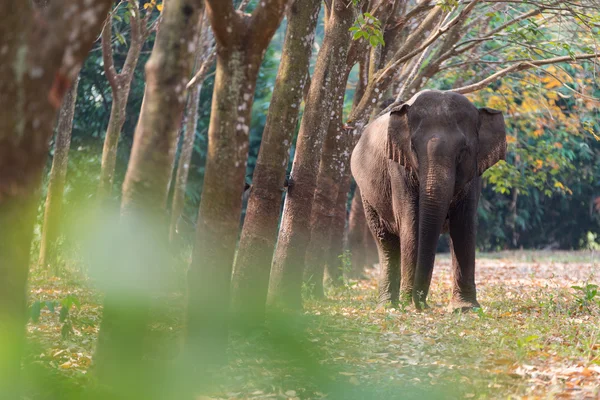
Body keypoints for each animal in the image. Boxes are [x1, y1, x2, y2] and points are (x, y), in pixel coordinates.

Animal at [352, 89, 506, 310]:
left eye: (462, 152)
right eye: (414, 148)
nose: (422, 304)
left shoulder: (474, 172)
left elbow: (463, 225)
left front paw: (465, 308)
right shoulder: (398, 167)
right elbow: (411, 224)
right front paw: (408, 304)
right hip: (367, 195)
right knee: (385, 242)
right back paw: (389, 306)